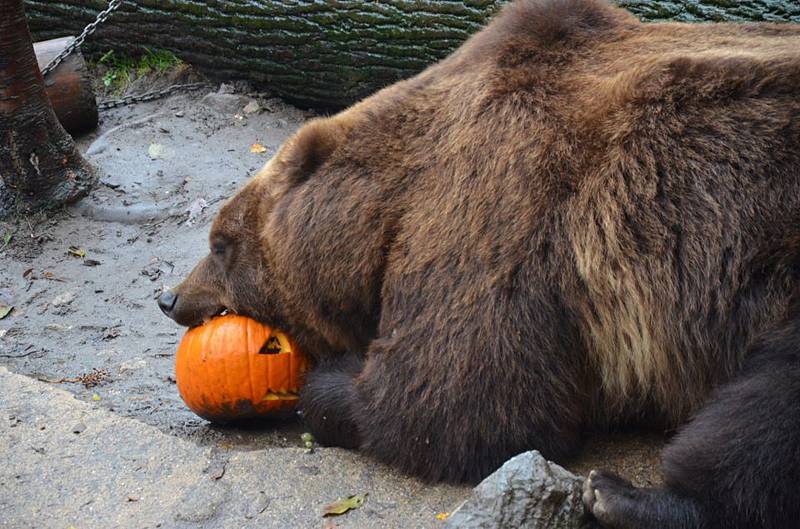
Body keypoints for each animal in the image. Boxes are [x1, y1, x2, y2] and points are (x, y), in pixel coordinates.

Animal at [159, 2, 800, 524]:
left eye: (220, 243)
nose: (170, 297)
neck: (386, 207)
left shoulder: (500, 200)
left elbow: (450, 399)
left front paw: (331, 383)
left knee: (766, 408)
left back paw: (624, 496)